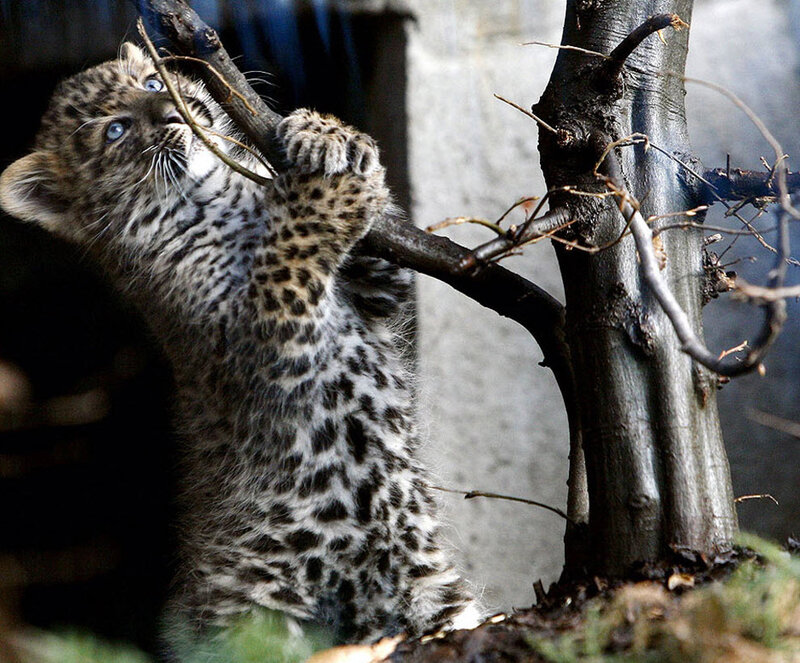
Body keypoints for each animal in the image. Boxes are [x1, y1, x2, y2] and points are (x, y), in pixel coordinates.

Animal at [0, 43, 480, 650]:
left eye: (152, 81)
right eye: (116, 130)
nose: (173, 110)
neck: (217, 194)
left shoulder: (375, 300)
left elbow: (382, 265)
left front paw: (325, 133)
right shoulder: (264, 337)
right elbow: (289, 253)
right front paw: (327, 193)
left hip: (446, 602)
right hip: (255, 617)